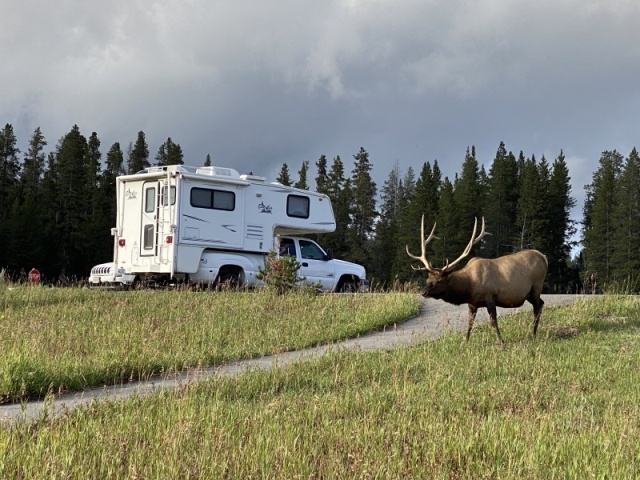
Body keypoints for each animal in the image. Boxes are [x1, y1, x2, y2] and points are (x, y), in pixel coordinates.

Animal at [408, 216, 548, 344]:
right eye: (428, 280)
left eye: (439, 281)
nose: (424, 292)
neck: (469, 287)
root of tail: (544, 257)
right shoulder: (472, 303)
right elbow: (470, 323)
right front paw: (465, 342)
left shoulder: (490, 297)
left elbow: (493, 321)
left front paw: (501, 342)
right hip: (529, 294)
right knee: (541, 304)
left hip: (537, 286)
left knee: (537, 307)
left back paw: (533, 335)